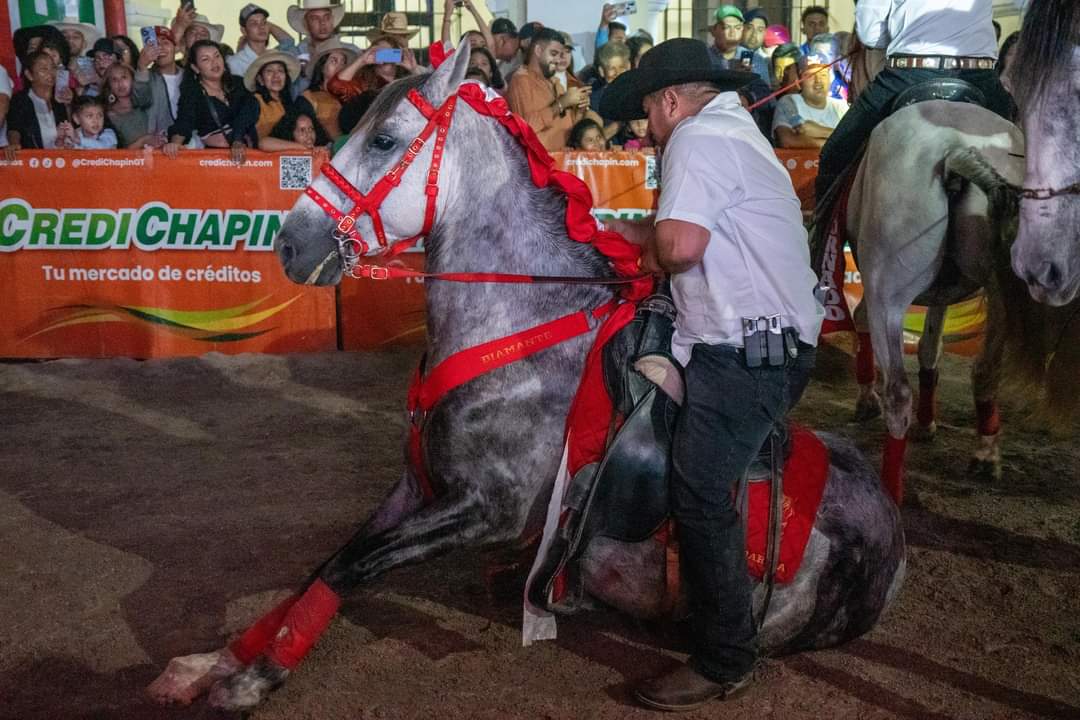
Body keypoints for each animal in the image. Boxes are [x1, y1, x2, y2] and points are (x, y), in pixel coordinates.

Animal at [147, 47, 907, 712]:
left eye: (385, 140)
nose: (291, 245)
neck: (518, 325)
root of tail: (892, 536)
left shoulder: (488, 508)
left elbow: (346, 568)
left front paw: (253, 680)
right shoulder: (417, 487)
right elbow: (326, 563)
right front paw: (207, 664)